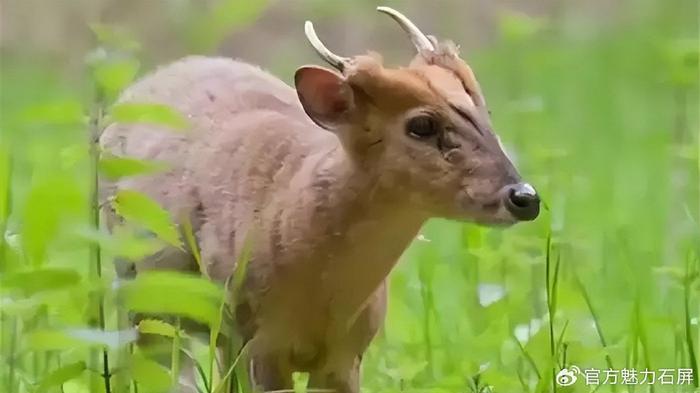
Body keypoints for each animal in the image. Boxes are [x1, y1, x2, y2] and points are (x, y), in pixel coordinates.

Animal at [98, 6, 540, 392]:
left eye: (484, 112)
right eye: (421, 124)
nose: (525, 198)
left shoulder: (347, 355)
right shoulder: (258, 342)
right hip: (137, 290)